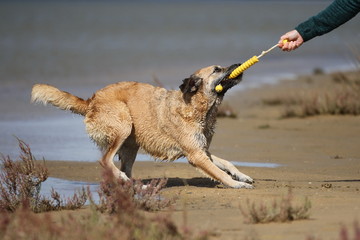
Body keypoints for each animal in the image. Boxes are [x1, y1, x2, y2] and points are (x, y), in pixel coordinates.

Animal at [32, 64, 255, 188]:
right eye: (217, 69)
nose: (238, 63)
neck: (194, 107)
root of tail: (91, 101)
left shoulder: (202, 150)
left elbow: (227, 163)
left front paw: (242, 176)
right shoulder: (196, 155)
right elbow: (219, 173)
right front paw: (236, 184)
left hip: (131, 146)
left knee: (124, 169)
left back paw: (136, 187)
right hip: (123, 125)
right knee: (105, 161)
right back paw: (126, 180)